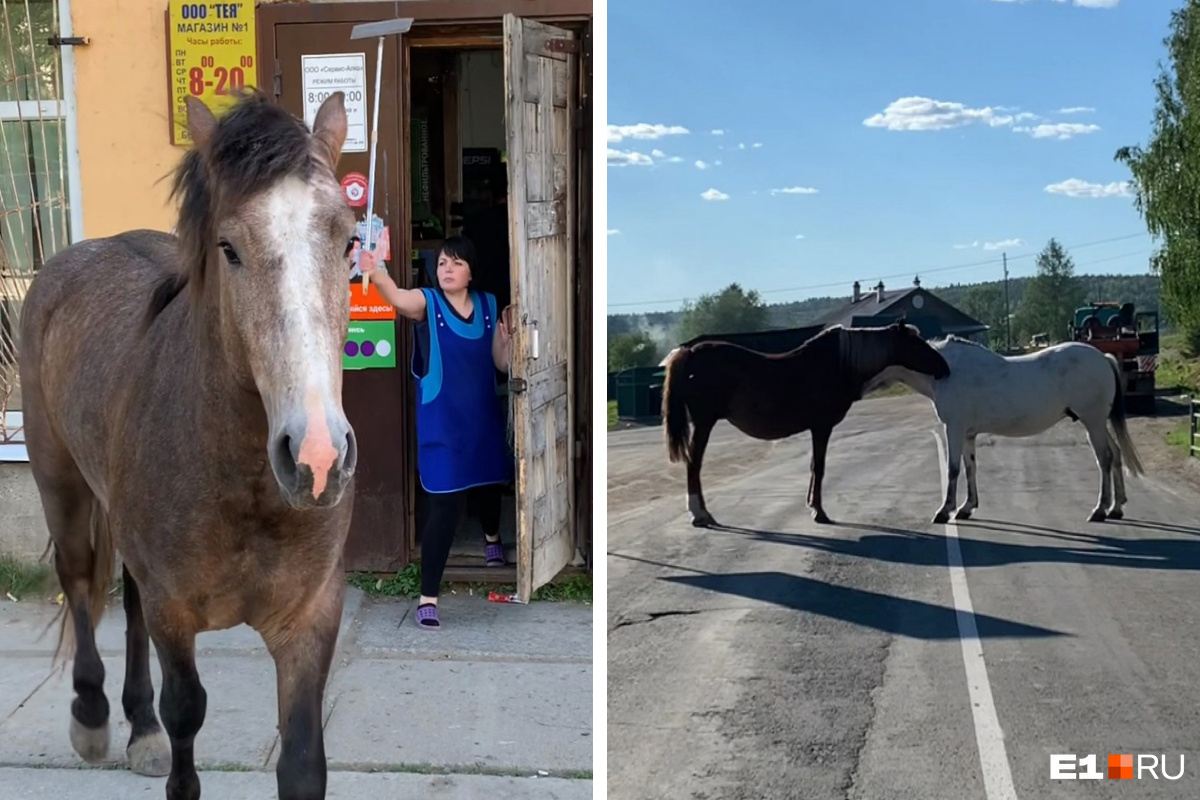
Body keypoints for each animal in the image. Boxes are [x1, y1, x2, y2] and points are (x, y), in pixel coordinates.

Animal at [17, 90, 360, 796]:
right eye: (228, 247)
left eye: (349, 242)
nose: (316, 458)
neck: (244, 483)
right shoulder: (176, 614)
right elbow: (186, 716)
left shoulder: (310, 618)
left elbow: (302, 760)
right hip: (59, 481)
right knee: (80, 582)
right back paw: (93, 717)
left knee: (127, 601)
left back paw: (139, 728)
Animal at [662, 321, 950, 527]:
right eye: (917, 343)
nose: (945, 368)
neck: (838, 364)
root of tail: (690, 352)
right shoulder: (821, 427)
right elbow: (819, 467)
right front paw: (819, 512)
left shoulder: (818, 428)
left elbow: (813, 466)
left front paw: (813, 506)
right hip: (704, 423)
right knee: (694, 464)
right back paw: (700, 514)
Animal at [873, 335, 1142, 525]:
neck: (946, 371)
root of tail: (1103, 358)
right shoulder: (968, 433)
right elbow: (970, 468)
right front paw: (966, 507)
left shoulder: (954, 428)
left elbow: (953, 469)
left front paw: (944, 511)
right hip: (1097, 423)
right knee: (1116, 454)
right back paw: (1116, 508)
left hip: (1092, 421)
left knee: (1105, 458)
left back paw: (1100, 510)